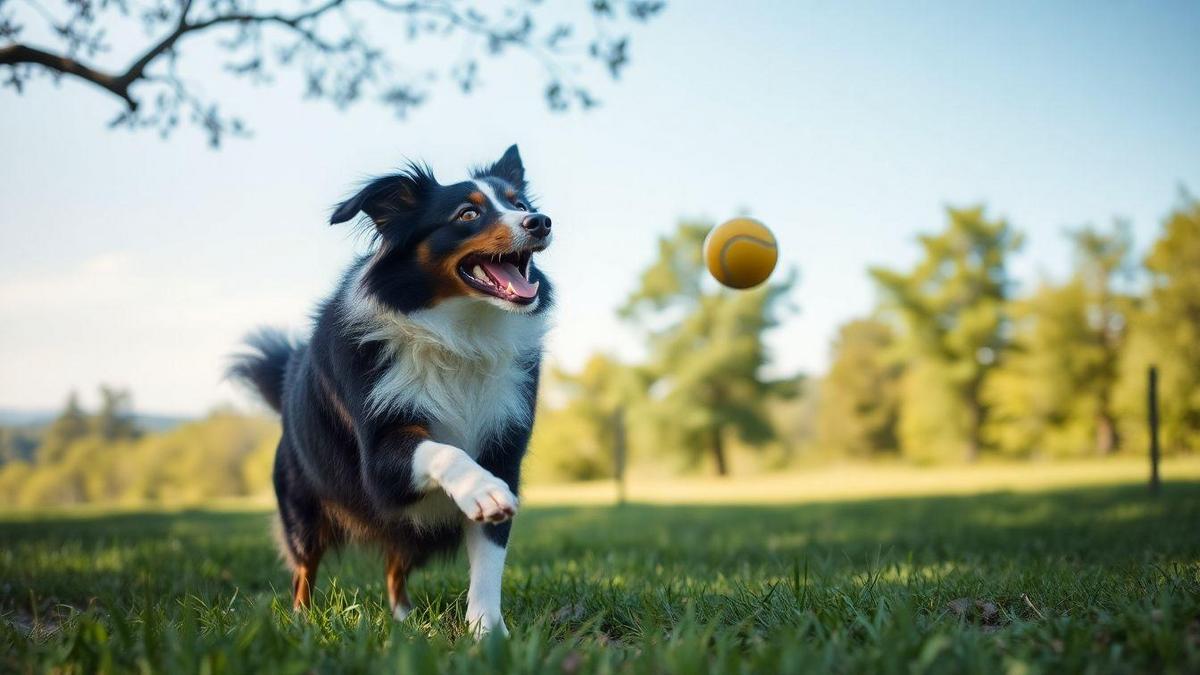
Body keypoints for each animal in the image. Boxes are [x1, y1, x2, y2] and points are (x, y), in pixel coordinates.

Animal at [229, 144, 552, 634]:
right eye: (468, 213)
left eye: (520, 204)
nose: (541, 221)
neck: (460, 333)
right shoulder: (380, 458)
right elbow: (443, 450)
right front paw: (480, 490)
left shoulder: (503, 449)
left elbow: (489, 560)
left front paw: (488, 631)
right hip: (303, 511)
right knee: (304, 569)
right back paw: (302, 623)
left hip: (408, 531)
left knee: (394, 567)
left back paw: (403, 619)